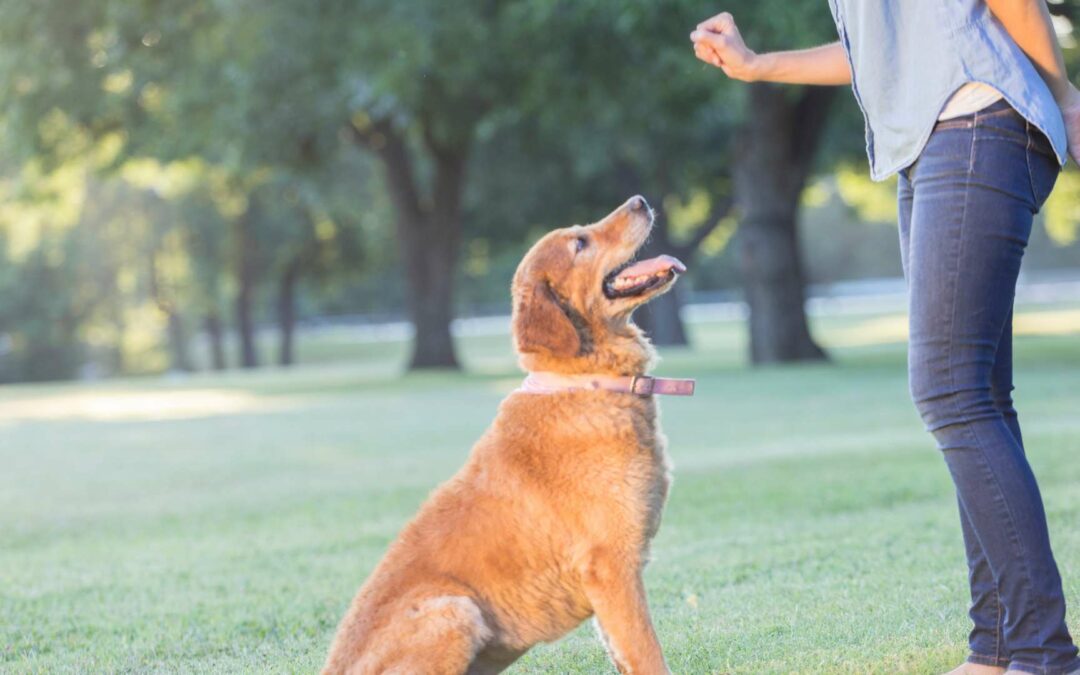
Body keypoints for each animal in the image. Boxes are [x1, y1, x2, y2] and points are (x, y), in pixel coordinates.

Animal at [319, 196, 691, 673]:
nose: (641, 201)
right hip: (454, 610)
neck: (585, 381)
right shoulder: (611, 566)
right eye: (580, 242)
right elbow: (648, 654)